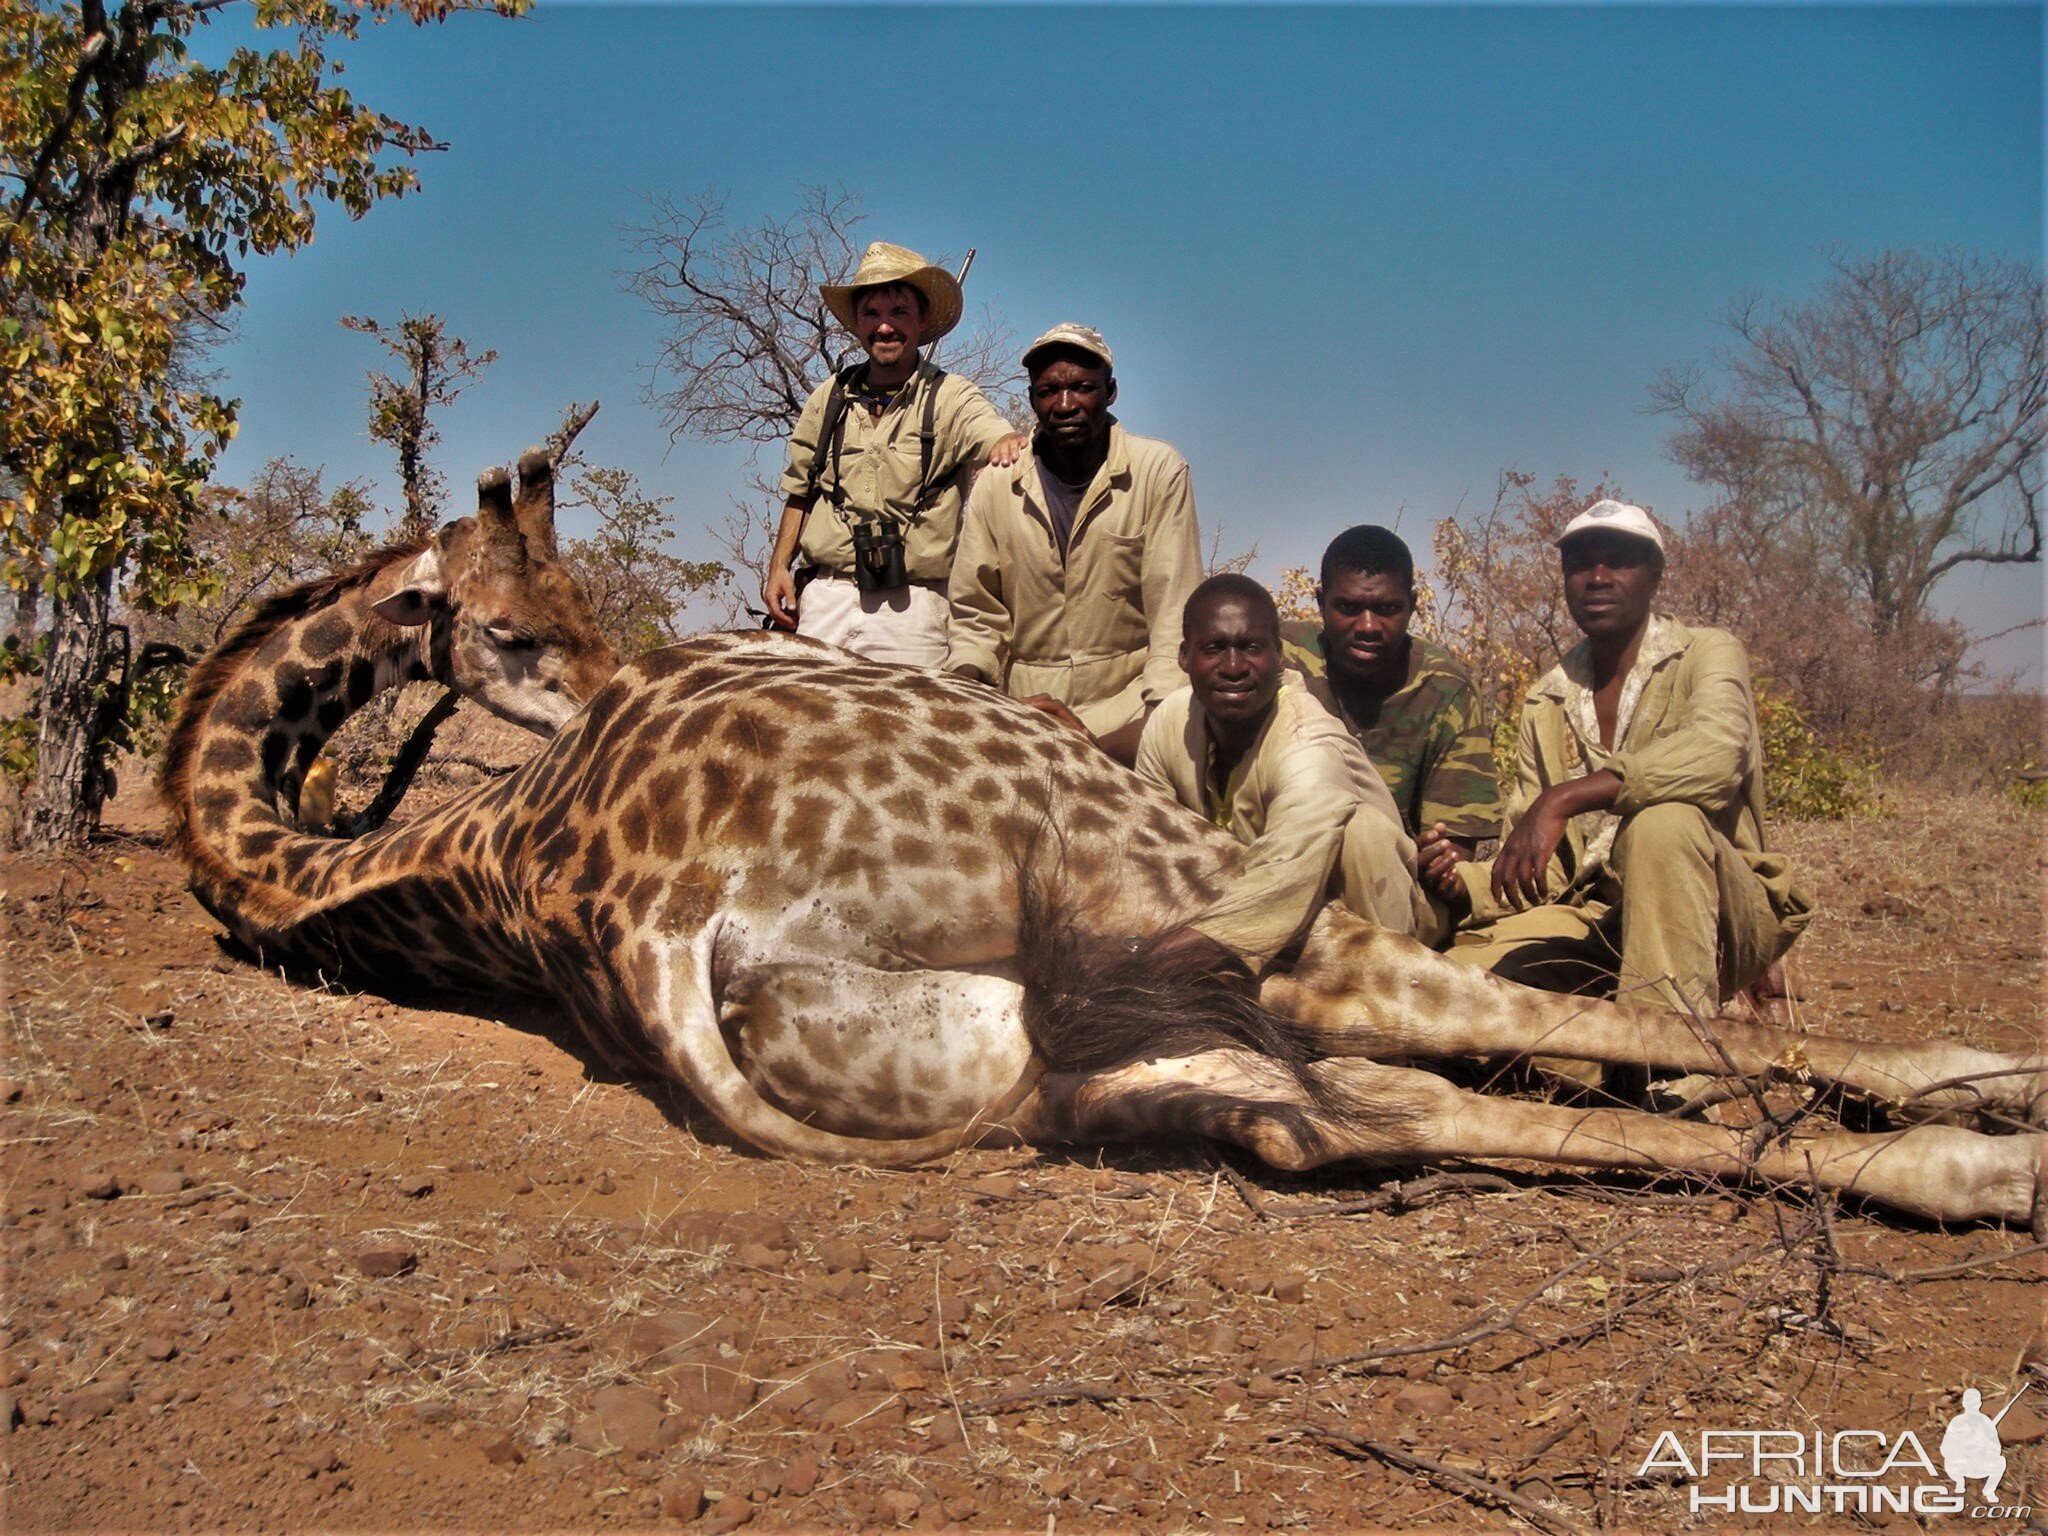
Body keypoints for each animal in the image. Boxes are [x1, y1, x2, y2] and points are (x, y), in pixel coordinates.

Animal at [163, 475, 2048, 1236]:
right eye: (507, 625)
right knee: (1443, 1042)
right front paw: (1984, 1090)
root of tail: (669, 929)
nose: (599, 667)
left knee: (1346, 1113)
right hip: (1169, 899)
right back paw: (1986, 1142)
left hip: (1053, 1066)